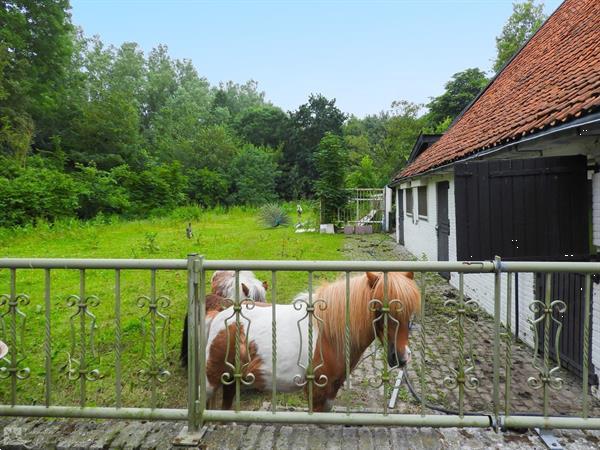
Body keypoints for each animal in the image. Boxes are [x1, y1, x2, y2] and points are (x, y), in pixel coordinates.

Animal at [204, 270, 420, 412]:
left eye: (410, 310)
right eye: (379, 308)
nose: (401, 357)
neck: (329, 335)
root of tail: (218, 317)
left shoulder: (331, 393)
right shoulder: (317, 392)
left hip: (230, 381)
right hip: (212, 381)